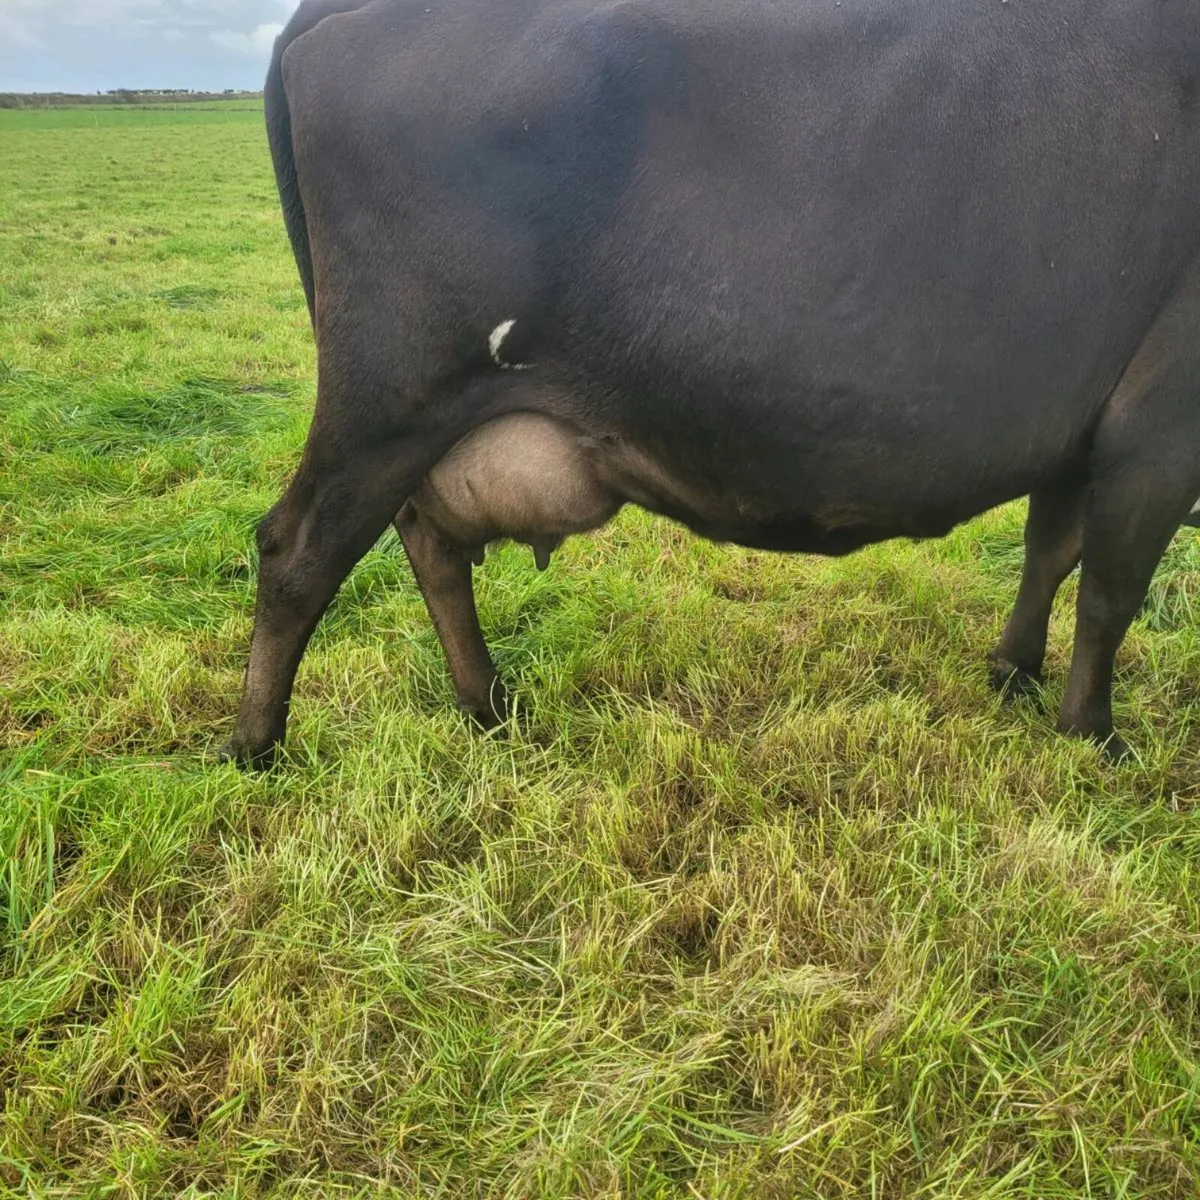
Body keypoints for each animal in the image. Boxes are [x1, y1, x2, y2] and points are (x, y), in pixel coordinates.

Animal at [222, 0, 1200, 769]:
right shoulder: (1161, 419)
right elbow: (1111, 590)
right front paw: (1095, 734)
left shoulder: (1087, 421)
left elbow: (1052, 551)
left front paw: (1015, 676)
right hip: (389, 398)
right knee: (298, 551)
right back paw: (255, 746)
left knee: (427, 543)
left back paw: (488, 705)